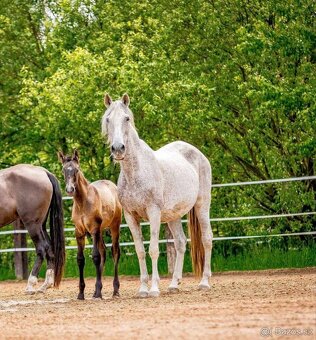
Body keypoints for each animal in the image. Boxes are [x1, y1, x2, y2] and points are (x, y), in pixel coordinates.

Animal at [0, 164, 65, 292]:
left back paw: (31, 284)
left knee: (41, 248)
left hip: (32, 225)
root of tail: (44, 172)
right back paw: (45, 285)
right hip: (41, 226)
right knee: (49, 248)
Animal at [58, 150, 122, 298]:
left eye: (76, 169)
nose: (70, 189)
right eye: (64, 169)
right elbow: (80, 259)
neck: (83, 202)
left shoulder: (94, 230)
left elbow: (95, 257)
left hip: (114, 227)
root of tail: (113, 185)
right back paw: (96, 291)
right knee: (104, 251)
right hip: (100, 231)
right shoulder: (79, 232)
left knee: (115, 252)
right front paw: (81, 293)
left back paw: (115, 290)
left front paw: (98, 292)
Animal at [102, 93, 214, 298]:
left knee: (207, 238)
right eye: (108, 119)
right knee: (180, 243)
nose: (118, 148)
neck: (136, 172)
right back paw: (174, 284)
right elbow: (140, 251)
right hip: (173, 215)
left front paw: (153, 288)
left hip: (202, 205)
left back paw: (204, 282)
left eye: (126, 118)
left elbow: (153, 249)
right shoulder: (130, 216)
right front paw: (142, 289)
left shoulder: (153, 212)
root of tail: (198, 153)